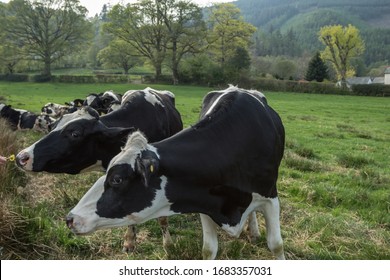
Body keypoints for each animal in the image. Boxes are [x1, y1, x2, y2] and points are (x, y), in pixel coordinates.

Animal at [66, 86, 286, 260]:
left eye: (117, 179)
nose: (70, 218)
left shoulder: (270, 197)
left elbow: (276, 245)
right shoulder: (205, 202)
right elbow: (209, 250)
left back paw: (253, 231)